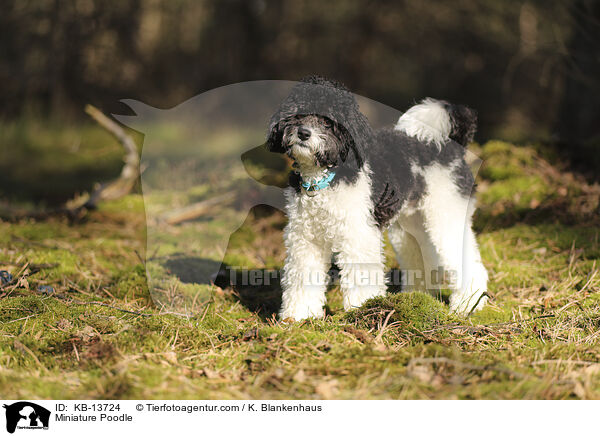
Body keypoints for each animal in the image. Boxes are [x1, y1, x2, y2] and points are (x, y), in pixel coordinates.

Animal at [268, 76, 488, 320]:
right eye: (297, 114)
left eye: (327, 122)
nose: (303, 133)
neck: (326, 177)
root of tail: (450, 144)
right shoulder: (305, 239)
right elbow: (302, 276)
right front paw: (299, 316)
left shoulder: (358, 235)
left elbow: (361, 275)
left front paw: (363, 309)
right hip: (410, 229)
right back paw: (416, 298)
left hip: (445, 216)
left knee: (469, 262)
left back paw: (469, 304)